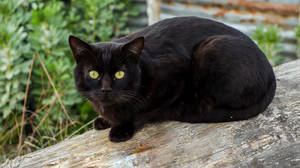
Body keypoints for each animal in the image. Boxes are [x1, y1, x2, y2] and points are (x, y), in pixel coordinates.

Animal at [69, 16, 276, 142]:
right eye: (93, 74)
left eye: (120, 74)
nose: (105, 89)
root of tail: (270, 73)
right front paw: (103, 120)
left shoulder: (175, 77)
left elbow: (143, 112)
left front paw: (121, 128)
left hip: (209, 49)